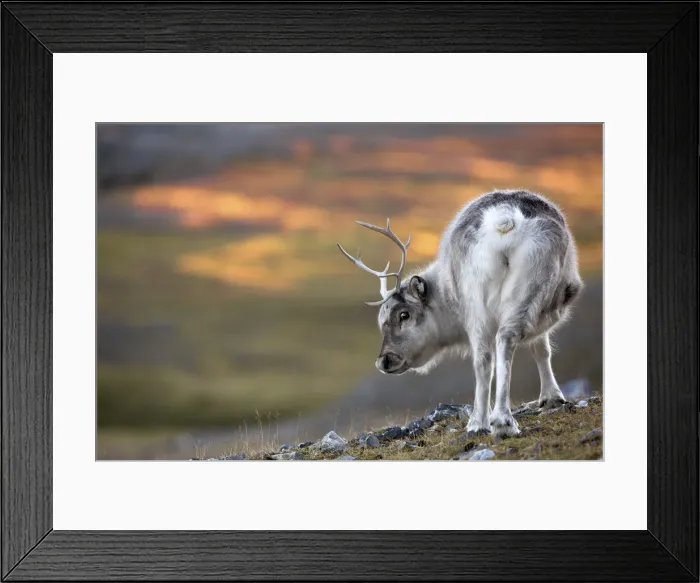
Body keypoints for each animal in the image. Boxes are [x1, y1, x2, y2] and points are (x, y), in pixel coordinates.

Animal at [337, 189, 584, 438]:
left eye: (404, 315)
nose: (384, 361)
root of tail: (504, 218)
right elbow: (542, 349)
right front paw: (552, 397)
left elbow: (540, 349)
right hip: (525, 287)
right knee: (503, 342)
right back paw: (501, 422)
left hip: (478, 299)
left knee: (484, 357)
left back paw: (480, 422)